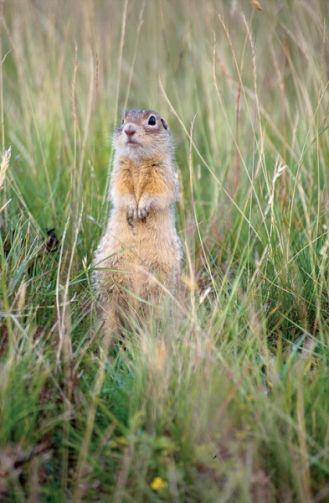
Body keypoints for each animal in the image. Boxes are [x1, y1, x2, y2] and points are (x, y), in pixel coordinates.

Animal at [91, 109, 182, 336]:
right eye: (122, 120)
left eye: (152, 120)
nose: (129, 130)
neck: (139, 161)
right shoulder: (119, 172)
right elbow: (121, 190)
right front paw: (133, 208)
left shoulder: (163, 172)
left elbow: (158, 190)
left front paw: (142, 207)